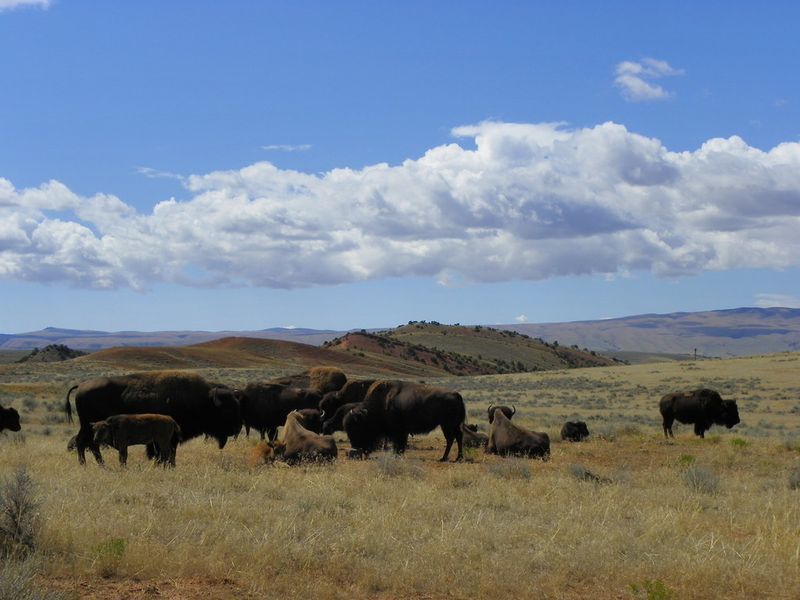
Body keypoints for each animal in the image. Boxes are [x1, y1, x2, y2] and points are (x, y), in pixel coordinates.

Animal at [64, 371, 242, 465]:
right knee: (84, 442)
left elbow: (169, 452)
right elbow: (165, 451)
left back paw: (98, 464)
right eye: (227, 410)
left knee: (89, 443)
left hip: (89, 426)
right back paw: (86, 464)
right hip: (88, 425)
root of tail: (81, 385)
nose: (237, 428)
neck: (203, 400)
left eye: (237, 406)